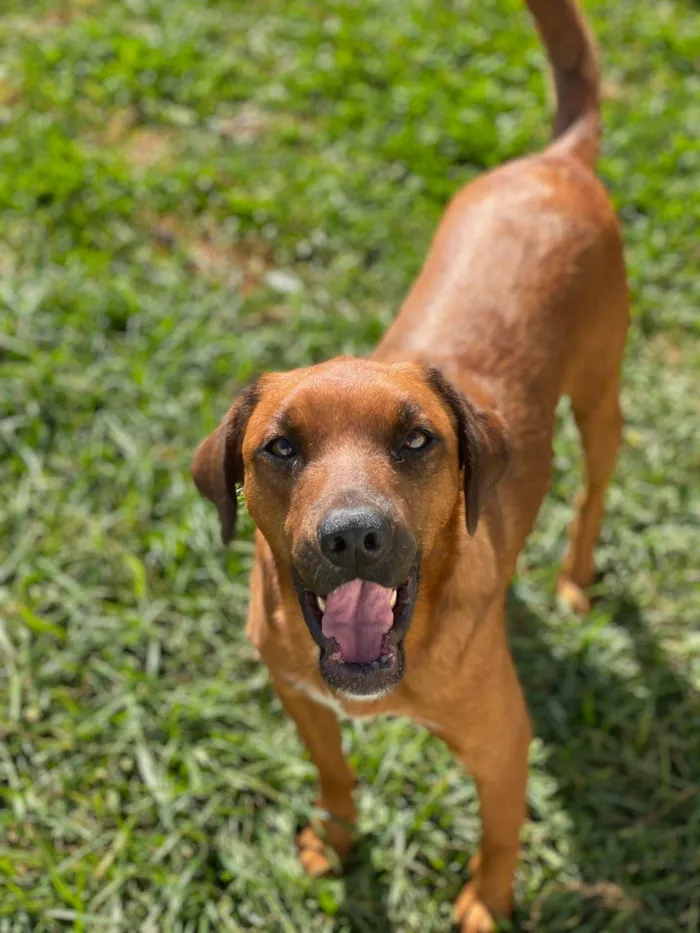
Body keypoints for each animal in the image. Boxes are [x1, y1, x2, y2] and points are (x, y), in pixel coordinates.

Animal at [190, 0, 628, 924]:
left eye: (417, 439)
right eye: (280, 446)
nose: (354, 536)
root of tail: (554, 161)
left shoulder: (504, 743)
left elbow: (499, 837)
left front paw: (485, 905)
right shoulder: (301, 696)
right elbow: (334, 774)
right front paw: (337, 841)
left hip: (600, 392)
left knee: (599, 480)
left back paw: (575, 578)